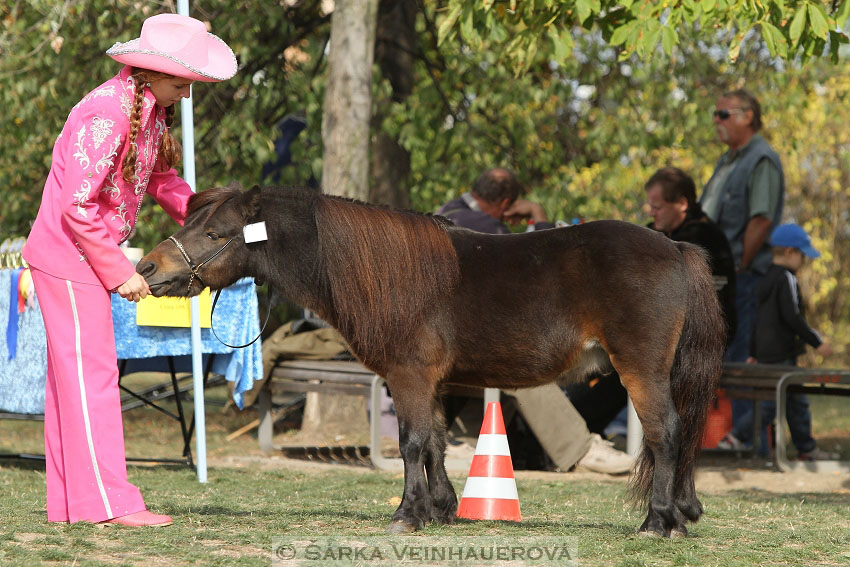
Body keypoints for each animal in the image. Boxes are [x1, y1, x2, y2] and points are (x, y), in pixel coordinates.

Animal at [137, 185, 724, 536]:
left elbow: (412, 442)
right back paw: (680, 514)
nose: (147, 267)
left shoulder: (409, 376)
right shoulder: (435, 382)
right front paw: (441, 509)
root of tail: (675, 248)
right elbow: (437, 443)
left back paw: (659, 520)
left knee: (666, 434)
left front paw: (407, 514)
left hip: (641, 371)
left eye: (214, 233)